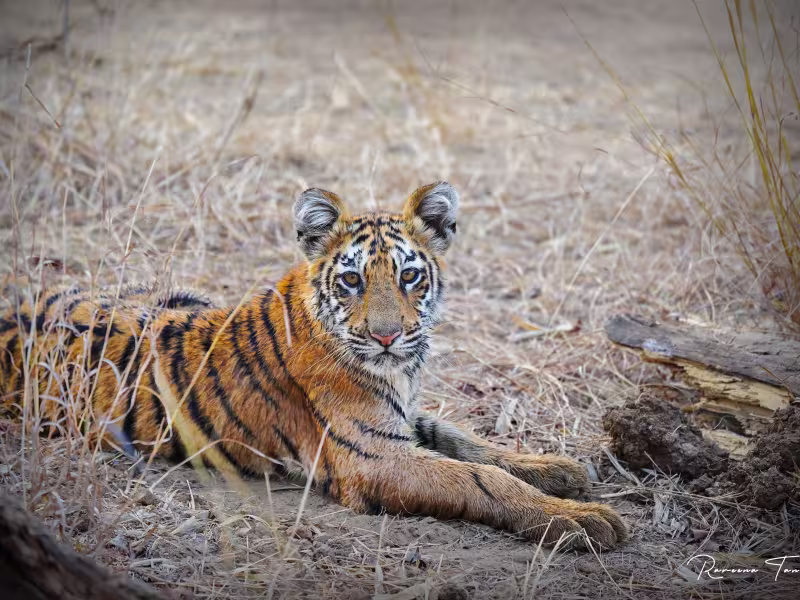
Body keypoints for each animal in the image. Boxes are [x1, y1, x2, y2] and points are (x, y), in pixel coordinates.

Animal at [0, 182, 626, 549]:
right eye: (351, 280)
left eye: (409, 276)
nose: (387, 335)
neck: (397, 368)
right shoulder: (372, 456)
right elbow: (478, 478)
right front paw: (579, 519)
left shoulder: (401, 421)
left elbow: (470, 442)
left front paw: (556, 469)